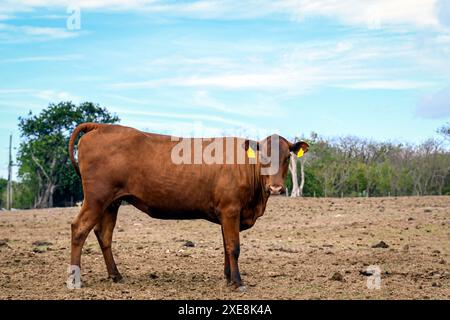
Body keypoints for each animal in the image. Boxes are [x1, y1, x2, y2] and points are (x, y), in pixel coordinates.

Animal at [67, 122, 310, 290]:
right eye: (263, 157)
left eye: (287, 157)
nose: (276, 188)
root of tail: (101, 126)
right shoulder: (230, 210)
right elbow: (234, 247)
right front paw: (237, 282)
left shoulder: (225, 214)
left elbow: (226, 246)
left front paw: (227, 277)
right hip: (96, 199)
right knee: (79, 229)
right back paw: (74, 280)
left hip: (111, 203)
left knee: (104, 234)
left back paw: (116, 275)